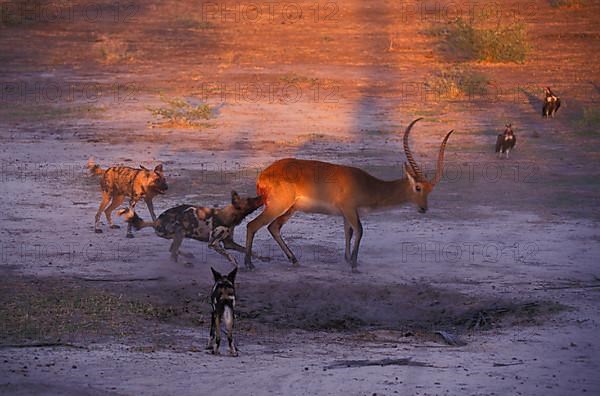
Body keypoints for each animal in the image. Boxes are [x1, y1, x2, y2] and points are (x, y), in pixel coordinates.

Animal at [118, 191, 266, 268]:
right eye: (251, 200)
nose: (261, 196)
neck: (229, 216)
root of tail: (156, 221)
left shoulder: (229, 243)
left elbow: (248, 250)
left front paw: (262, 258)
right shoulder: (214, 244)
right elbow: (229, 255)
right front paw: (234, 262)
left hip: (178, 235)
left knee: (172, 249)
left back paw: (186, 257)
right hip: (180, 232)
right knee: (172, 252)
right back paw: (182, 263)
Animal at [244, 117, 454, 272]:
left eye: (430, 189)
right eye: (418, 187)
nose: (423, 208)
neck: (369, 186)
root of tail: (264, 174)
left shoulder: (346, 214)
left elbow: (349, 232)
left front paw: (347, 259)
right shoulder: (350, 209)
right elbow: (360, 230)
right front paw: (353, 264)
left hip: (290, 209)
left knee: (273, 228)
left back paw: (294, 259)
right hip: (278, 206)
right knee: (252, 225)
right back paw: (249, 264)